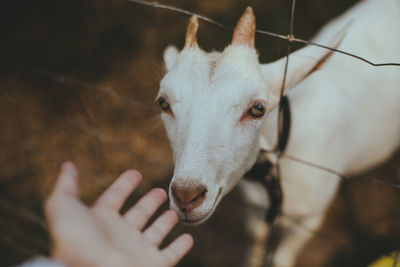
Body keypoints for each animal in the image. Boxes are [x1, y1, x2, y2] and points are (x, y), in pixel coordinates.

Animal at [156, 0, 400, 266]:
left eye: (257, 109)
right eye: (163, 103)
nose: (186, 196)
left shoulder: (310, 217)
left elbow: (282, 258)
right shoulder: (255, 208)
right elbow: (256, 239)